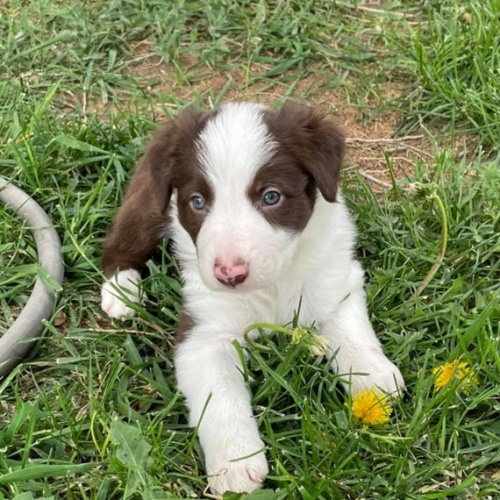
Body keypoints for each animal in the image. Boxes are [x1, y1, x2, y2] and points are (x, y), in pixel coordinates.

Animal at [99, 100, 404, 492]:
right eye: (197, 202)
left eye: (271, 196)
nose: (229, 274)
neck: (272, 284)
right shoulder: (204, 332)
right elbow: (219, 398)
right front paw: (235, 464)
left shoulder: (335, 276)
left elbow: (350, 331)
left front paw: (372, 379)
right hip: (148, 202)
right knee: (120, 243)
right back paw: (122, 292)